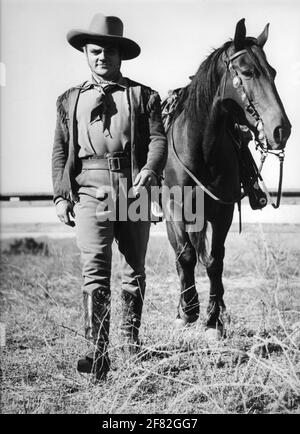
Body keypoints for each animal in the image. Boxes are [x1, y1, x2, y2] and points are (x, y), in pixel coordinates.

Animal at [163, 17, 292, 340]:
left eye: (273, 72)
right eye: (247, 72)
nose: (281, 130)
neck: (199, 147)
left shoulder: (222, 212)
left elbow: (215, 262)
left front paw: (212, 319)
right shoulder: (175, 208)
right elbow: (186, 257)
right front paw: (189, 313)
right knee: (182, 256)